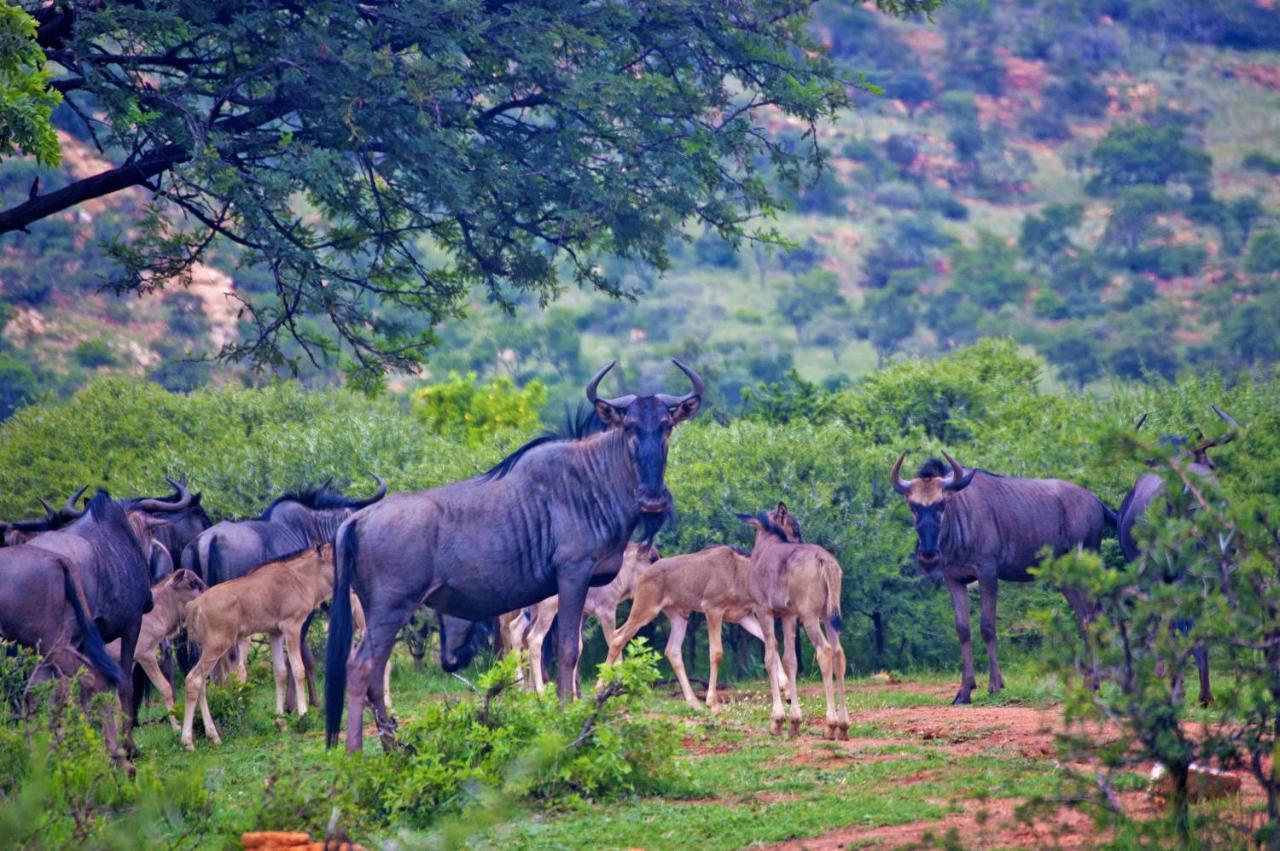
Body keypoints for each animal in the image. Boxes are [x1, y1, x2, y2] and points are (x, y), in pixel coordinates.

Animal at [604, 545, 783, 711]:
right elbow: (716, 652)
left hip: (679, 616)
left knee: (672, 650)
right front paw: (712, 703)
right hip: (646, 608)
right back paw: (601, 688)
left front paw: (785, 686)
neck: (740, 576)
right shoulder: (713, 608)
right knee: (618, 637)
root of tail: (642, 576)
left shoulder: (742, 616)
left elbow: (772, 641)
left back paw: (694, 703)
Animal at [742, 504, 849, 737]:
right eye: (795, 527)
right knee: (838, 652)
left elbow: (770, 658)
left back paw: (831, 724)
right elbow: (790, 660)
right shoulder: (788, 615)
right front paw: (795, 722)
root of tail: (826, 562)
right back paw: (844, 725)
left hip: (810, 615)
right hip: (828, 614)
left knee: (825, 650)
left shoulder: (764, 610)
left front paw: (777, 720)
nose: (799, 539)